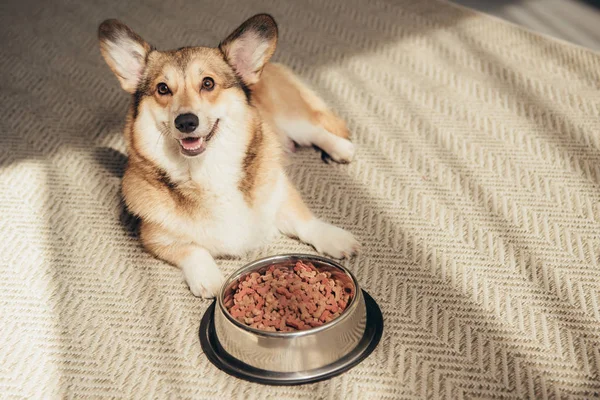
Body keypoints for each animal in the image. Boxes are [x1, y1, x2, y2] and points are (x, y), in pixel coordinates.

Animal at [98, 13, 358, 296]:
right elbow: (192, 250)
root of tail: (270, 66)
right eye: (163, 89)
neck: (207, 168)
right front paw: (208, 278)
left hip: (292, 121)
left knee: (316, 130)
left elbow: (305, 221)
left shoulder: (280, 194)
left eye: (208, 83)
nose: (186, 122)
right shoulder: (155, 236)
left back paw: (342, 149)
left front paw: (334, 238)